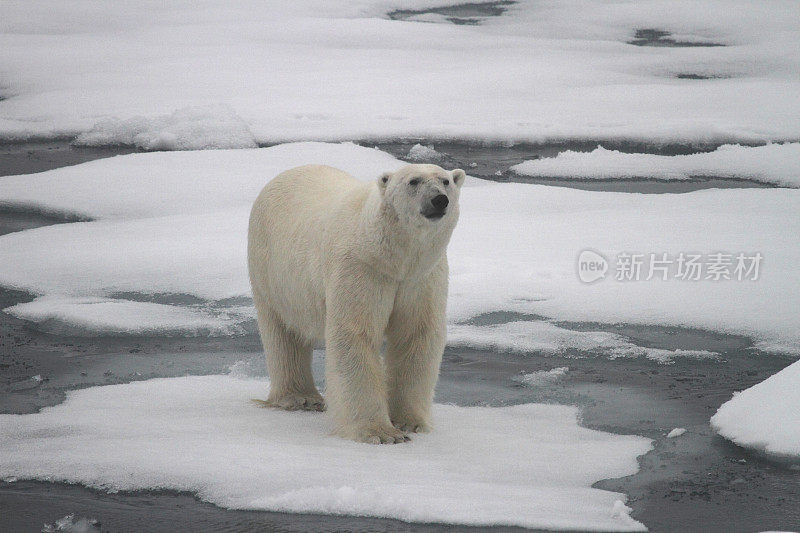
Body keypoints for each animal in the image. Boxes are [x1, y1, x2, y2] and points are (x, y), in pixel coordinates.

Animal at [247, 161, 466, 440]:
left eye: (445, 180)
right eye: (413, 181)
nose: (439, 200)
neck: (393, 257)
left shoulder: (421, 277)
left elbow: (415, 333)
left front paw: (410, 422)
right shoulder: (361, 267)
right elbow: (355, 333)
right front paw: (380, 432)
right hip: (272, 270)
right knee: (282, 330)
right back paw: (300, 398)